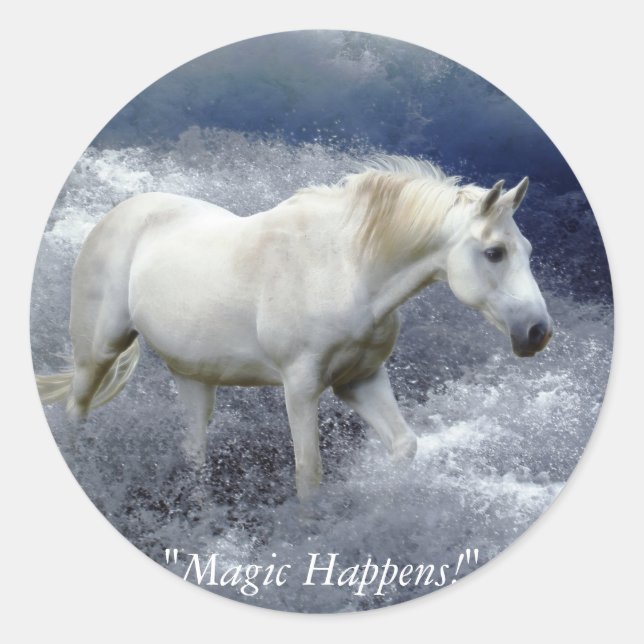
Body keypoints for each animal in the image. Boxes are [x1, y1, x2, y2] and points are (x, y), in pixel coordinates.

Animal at [36, 157, 553, 500]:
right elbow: (309, 472)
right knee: (77, 408)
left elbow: (404, 445)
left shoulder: (360, 380)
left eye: (527, 248)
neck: (346, 269)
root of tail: (116, 215)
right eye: (494, 253)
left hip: (194, 375)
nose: (538, 332)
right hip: (100, 350)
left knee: (194, 448)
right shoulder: (301, 388)